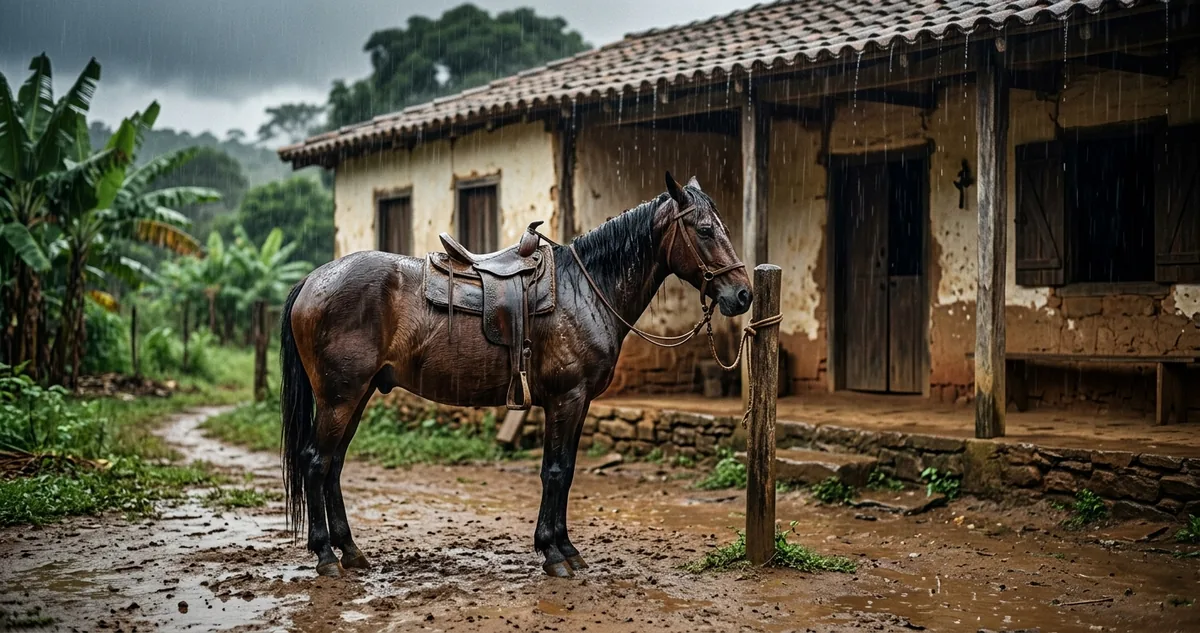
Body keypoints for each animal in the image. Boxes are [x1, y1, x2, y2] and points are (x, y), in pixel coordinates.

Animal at [279, 172, 752, 578]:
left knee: (334, 465)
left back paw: (350, 551)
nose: (743, 294)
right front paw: (553, 553)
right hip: (339, 398)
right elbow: (556, 471)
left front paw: (566, 548)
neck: (585, 290)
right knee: (316, 462)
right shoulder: (566, 398)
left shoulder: (577, 403)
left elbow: (566, 470)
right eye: (705, 230)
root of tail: (313, 280)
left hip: (356, 396)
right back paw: (325, 555)